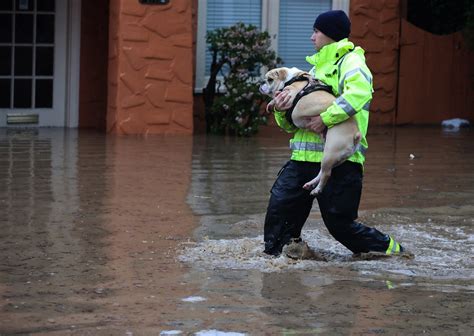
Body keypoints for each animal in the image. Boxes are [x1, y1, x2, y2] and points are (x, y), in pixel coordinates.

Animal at [260, 66, 360, 194]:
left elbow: (278, 96)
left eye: (270, 79)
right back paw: (310, 184)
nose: (261, 82)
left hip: (330, 152)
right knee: (322, 171)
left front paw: (271, 103)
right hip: (333, 156)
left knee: (326, 174)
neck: (290, 78)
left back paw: (317, 190)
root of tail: (356, 135)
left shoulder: (289, 93)